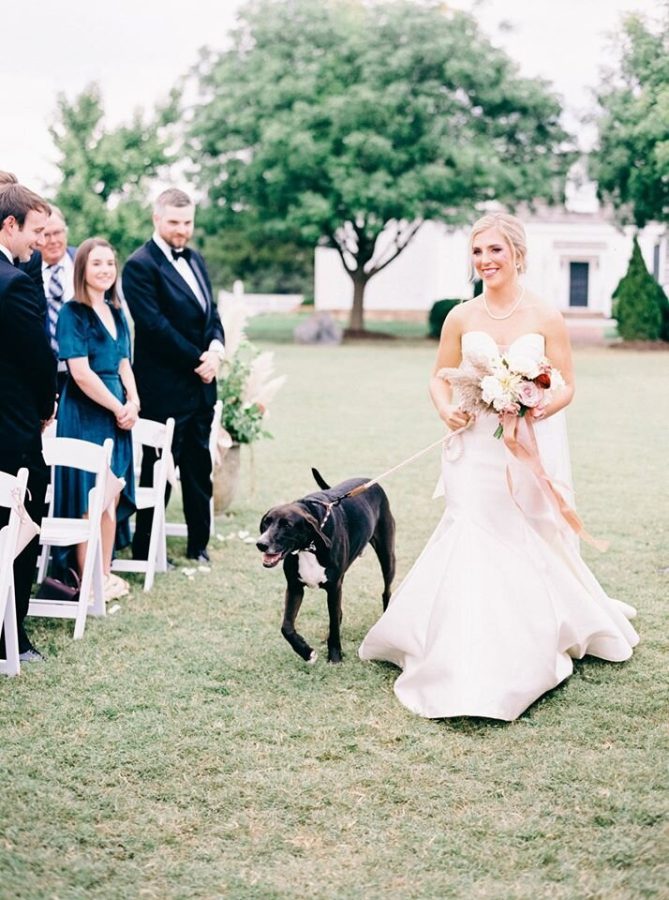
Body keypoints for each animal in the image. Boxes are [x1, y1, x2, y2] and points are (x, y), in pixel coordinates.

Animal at [254, 472, 392, 660]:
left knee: (386, 590)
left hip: (387, 557)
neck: (309, 546)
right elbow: (286, 627)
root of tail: (369, 480)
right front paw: (306, 652)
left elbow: (333, 622)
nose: (261, 544)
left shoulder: (333, 588)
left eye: (287, 525)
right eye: (266, 522)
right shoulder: (295, 587)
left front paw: (335, 656)